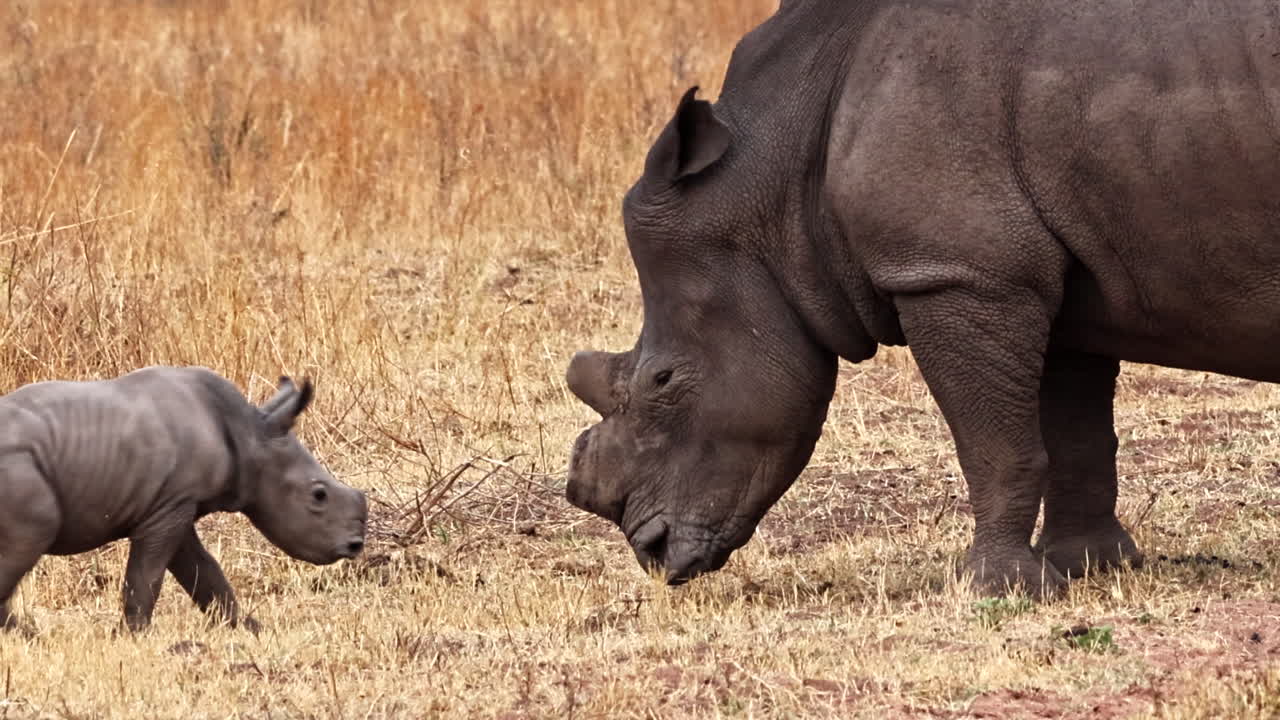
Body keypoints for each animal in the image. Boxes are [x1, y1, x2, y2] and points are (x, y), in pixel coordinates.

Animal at [0, 366, 367, 632]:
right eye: (319, 495)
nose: (355, 546)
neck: (250, 434)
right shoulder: (169, 507)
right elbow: (148, 575)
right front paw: (134, 635)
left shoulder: (175, 505)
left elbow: (204, 572)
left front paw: (248, 629)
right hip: (19, 470)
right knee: (34, 535)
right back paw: (28, 636)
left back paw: (26, 636)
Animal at [565, 0, 1280, 598]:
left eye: (662, 380)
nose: (652, 551)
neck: (771, 172)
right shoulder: (1050, 269)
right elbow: (1075, 432)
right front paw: (1089, 569)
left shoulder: (955, 273)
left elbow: (993, 445)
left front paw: (1000, 591)